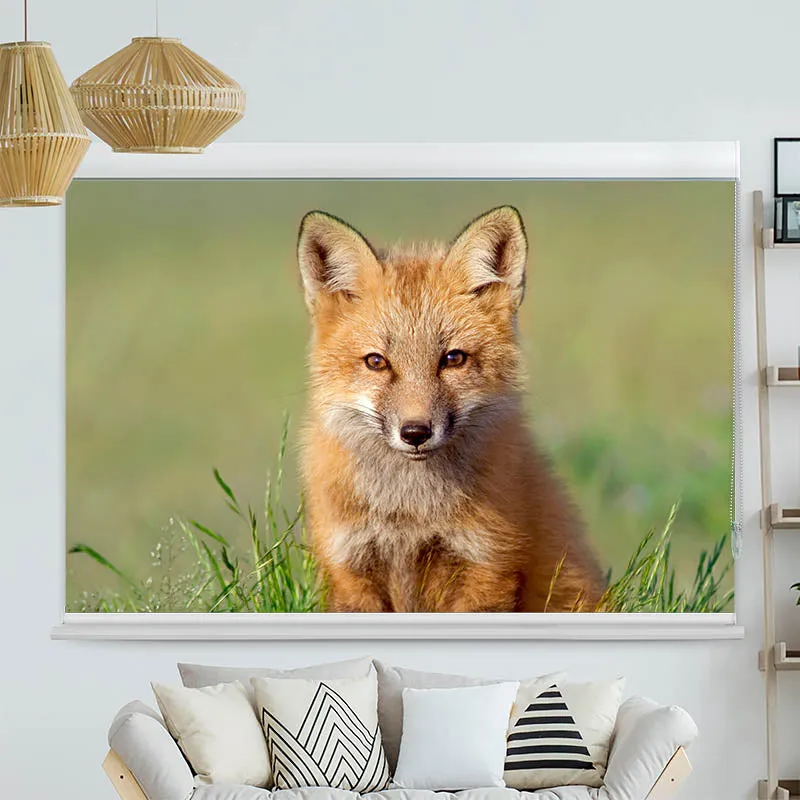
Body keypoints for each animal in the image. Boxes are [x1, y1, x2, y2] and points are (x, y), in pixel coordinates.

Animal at [296, 205, 604, 613]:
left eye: (453, 359)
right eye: (376, 362)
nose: (415, 432)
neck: (410, 514)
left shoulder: (486, 564)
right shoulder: (349, 568)